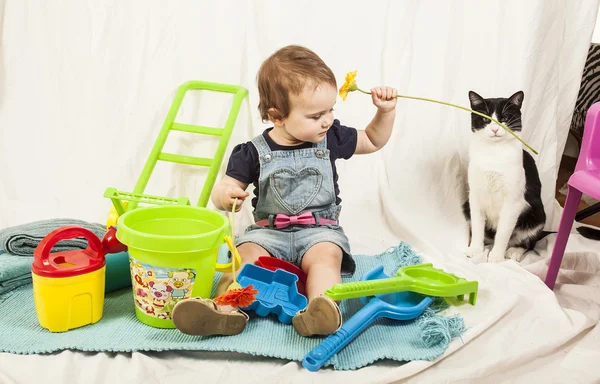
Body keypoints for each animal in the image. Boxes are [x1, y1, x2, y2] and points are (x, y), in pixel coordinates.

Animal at [460, 91, 548, 262]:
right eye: (485, 119)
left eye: (505, 118)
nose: (495, 129)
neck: (495, 152)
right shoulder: (475, 195)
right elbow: (478, 225)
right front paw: (475, 250)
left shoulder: (513, 202)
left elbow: (503, 232)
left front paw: (495, 257)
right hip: (466, 206)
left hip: (537, 216)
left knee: (528, 242)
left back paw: (514, 251)